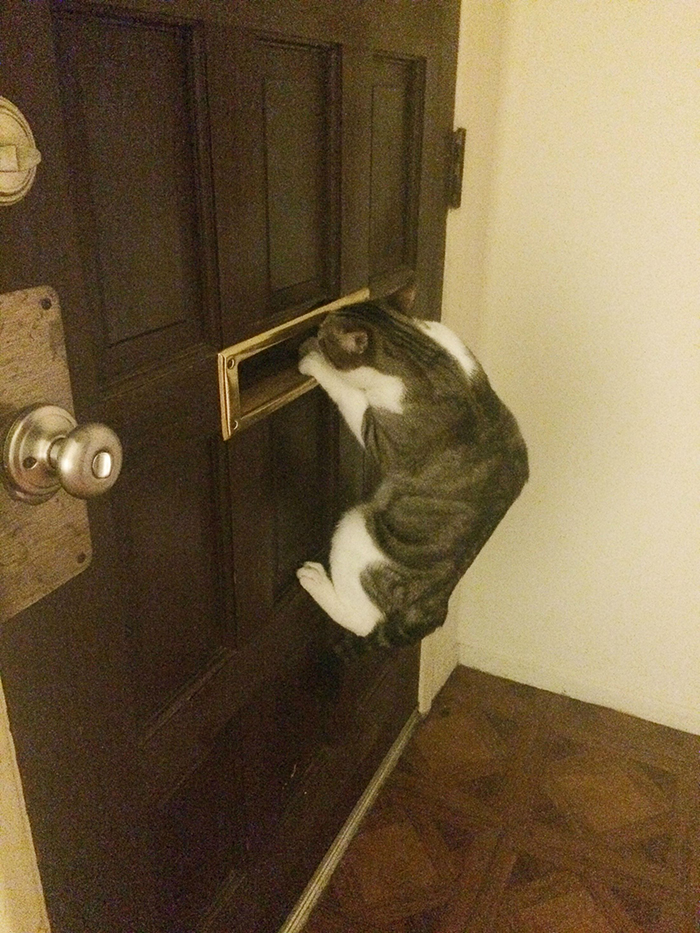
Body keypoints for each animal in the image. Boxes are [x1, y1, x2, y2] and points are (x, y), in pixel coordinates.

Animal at [292, 284, 528, 648]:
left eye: (323, 333)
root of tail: (436, 604)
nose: (315, 330)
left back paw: (315, 579)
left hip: (355, 530)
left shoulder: (383, 438)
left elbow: (350, 395)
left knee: (361, 620)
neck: (424, 351)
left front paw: (314, 359)